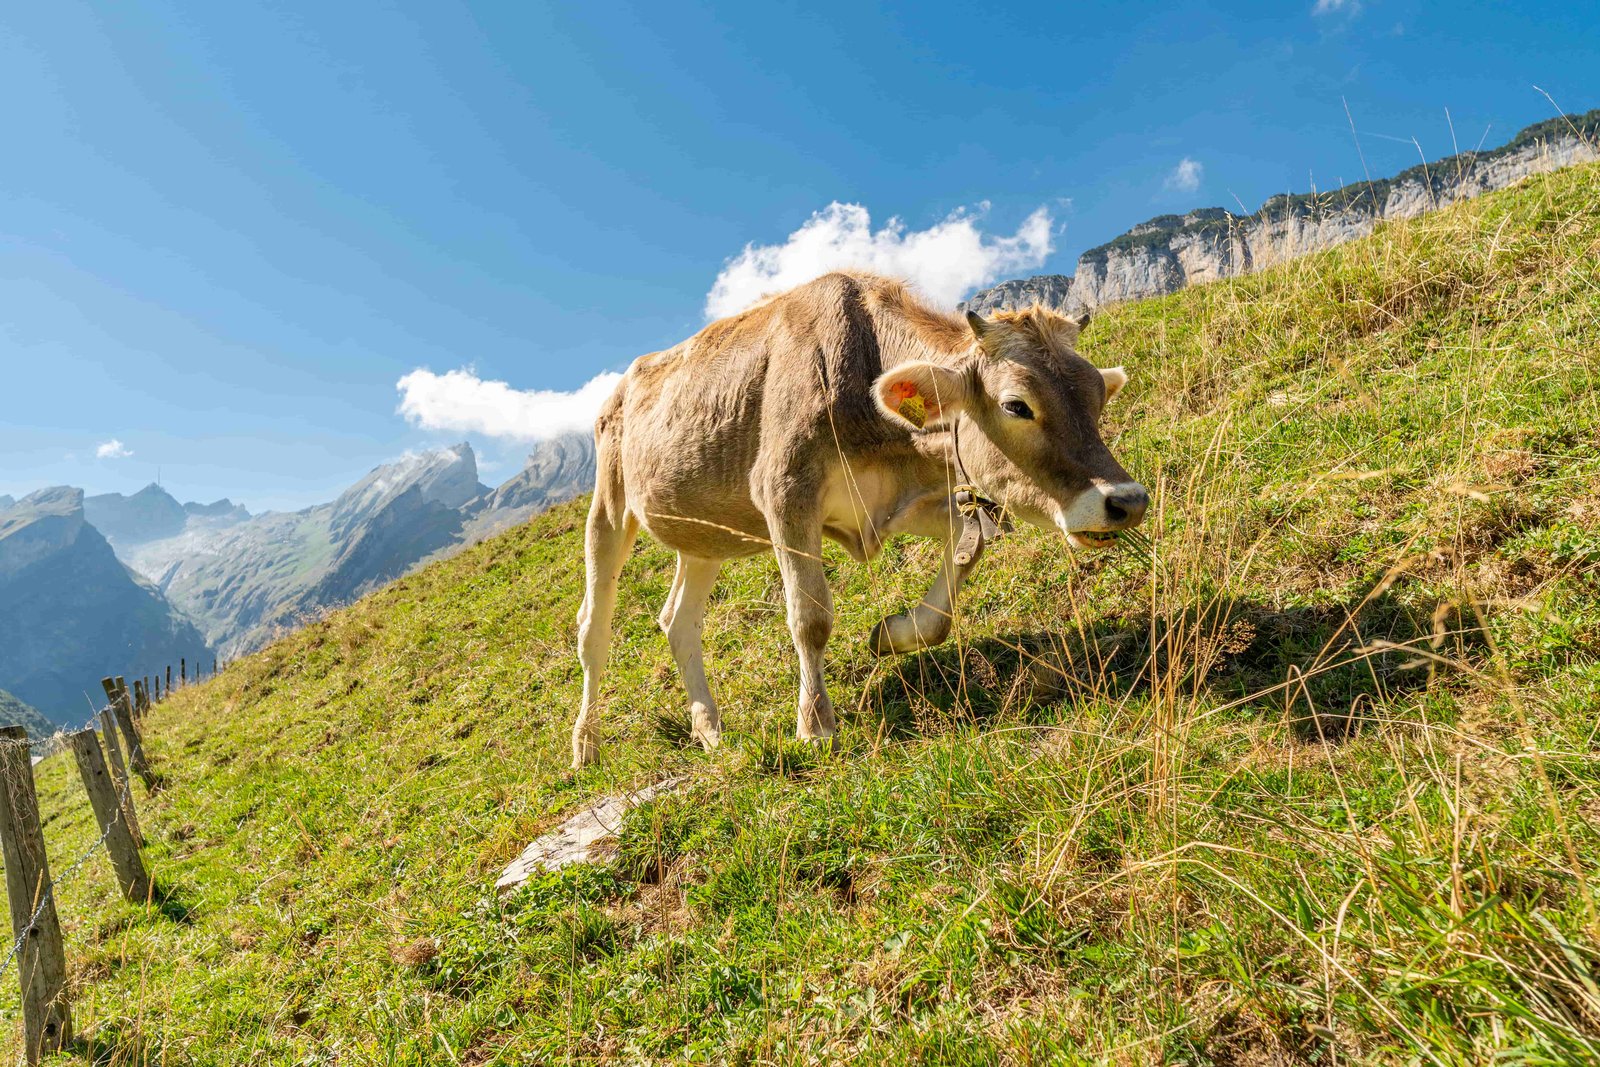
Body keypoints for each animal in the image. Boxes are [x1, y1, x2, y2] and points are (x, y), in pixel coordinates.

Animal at [571, 272, 1147, 768]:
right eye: (1016, 405)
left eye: (1098, 397)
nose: (1128, 501)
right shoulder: (784, 494)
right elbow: (810, 617)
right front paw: (815, 726)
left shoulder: (899, 502)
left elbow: (963, 558)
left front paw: (893, 634)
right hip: (608, 505)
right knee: (593, 628)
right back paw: (586, 747)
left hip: (703, 536)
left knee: (678, 619)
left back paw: (709, 730)